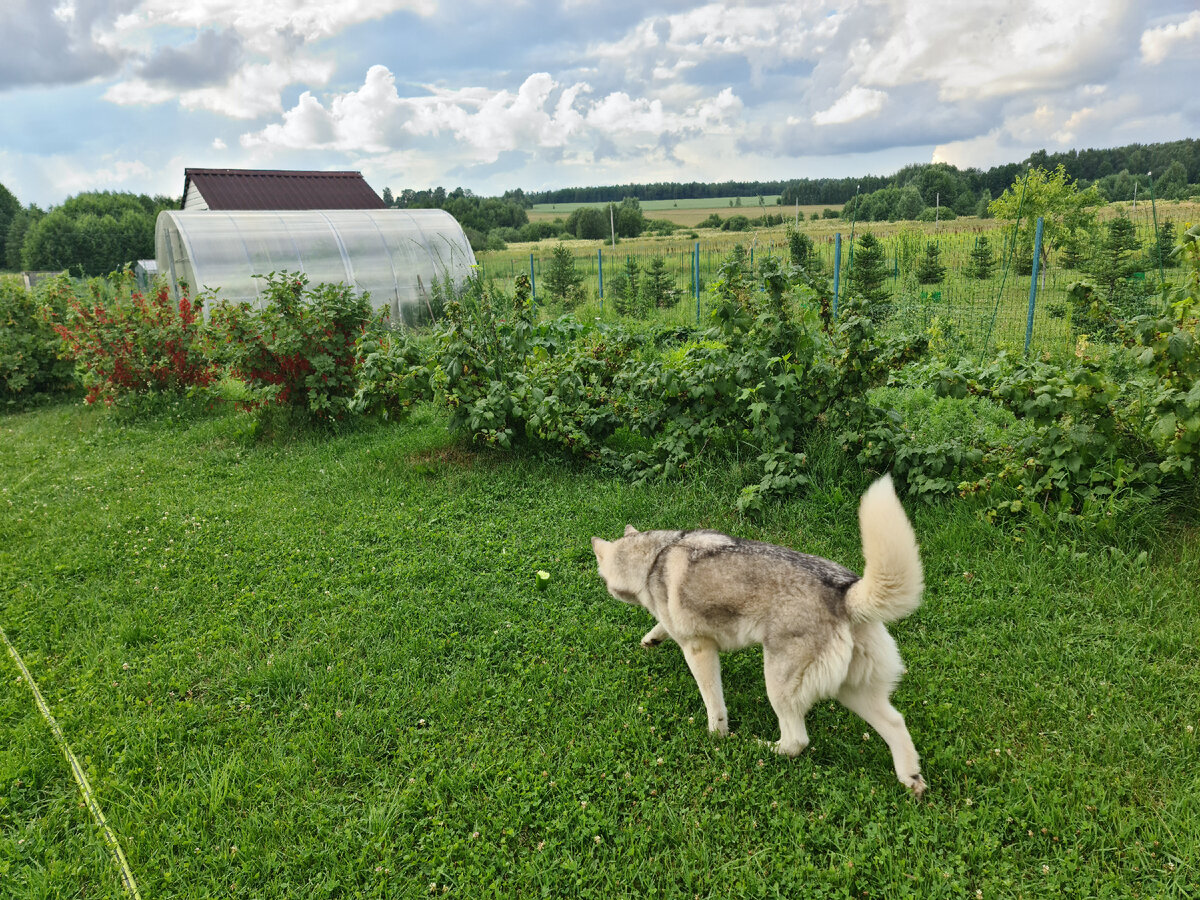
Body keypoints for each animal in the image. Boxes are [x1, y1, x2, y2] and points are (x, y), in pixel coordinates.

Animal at [590, 480, 926, 796]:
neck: (654, 558)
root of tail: (846, 595)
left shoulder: (699, 650)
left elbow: (714, 705)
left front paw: (716, 736)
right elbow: (661, 625)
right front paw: (652, 638)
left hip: (779, 685)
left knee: (795, 741)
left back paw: (760, 748)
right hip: (853, 690)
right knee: (896, 724)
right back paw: (911, 778)